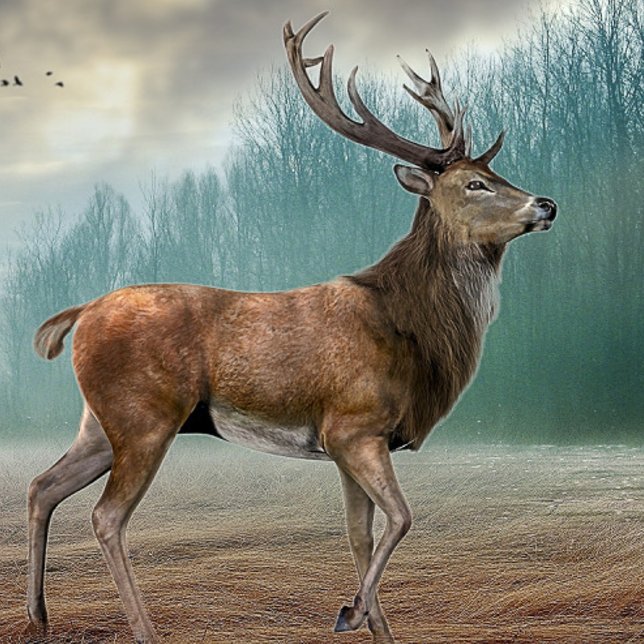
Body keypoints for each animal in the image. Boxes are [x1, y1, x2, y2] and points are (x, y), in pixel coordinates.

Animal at [25, 12, 557, 644]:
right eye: (475, 183)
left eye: (495, 171)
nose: (546, 204)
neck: (411, 330)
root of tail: (79, 313)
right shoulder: (353, 425)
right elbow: (401, 518)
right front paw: (350, 611)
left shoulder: (354, 442)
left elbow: (361, 535)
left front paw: (370, 621)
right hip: (144, 416)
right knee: (105, 516)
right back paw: (144, 630)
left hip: (100, 424)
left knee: (41, 486)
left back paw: (38, 615)